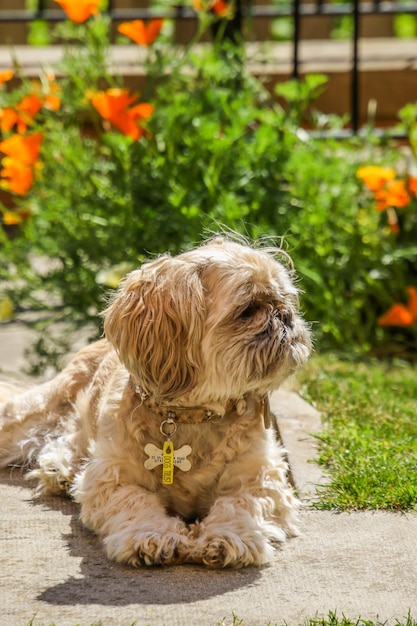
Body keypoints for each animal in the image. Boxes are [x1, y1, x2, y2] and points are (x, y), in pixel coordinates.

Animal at [0, 236, 308, 568]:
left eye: (285, 301)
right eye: (248, 310)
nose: (285, 316)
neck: (192, 415)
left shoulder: (262, 476)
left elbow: (243, 503)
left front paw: (228, 535)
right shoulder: (112, 478)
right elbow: (134, 500)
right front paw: (152, 535)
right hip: (44, 407)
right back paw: (61, 469)